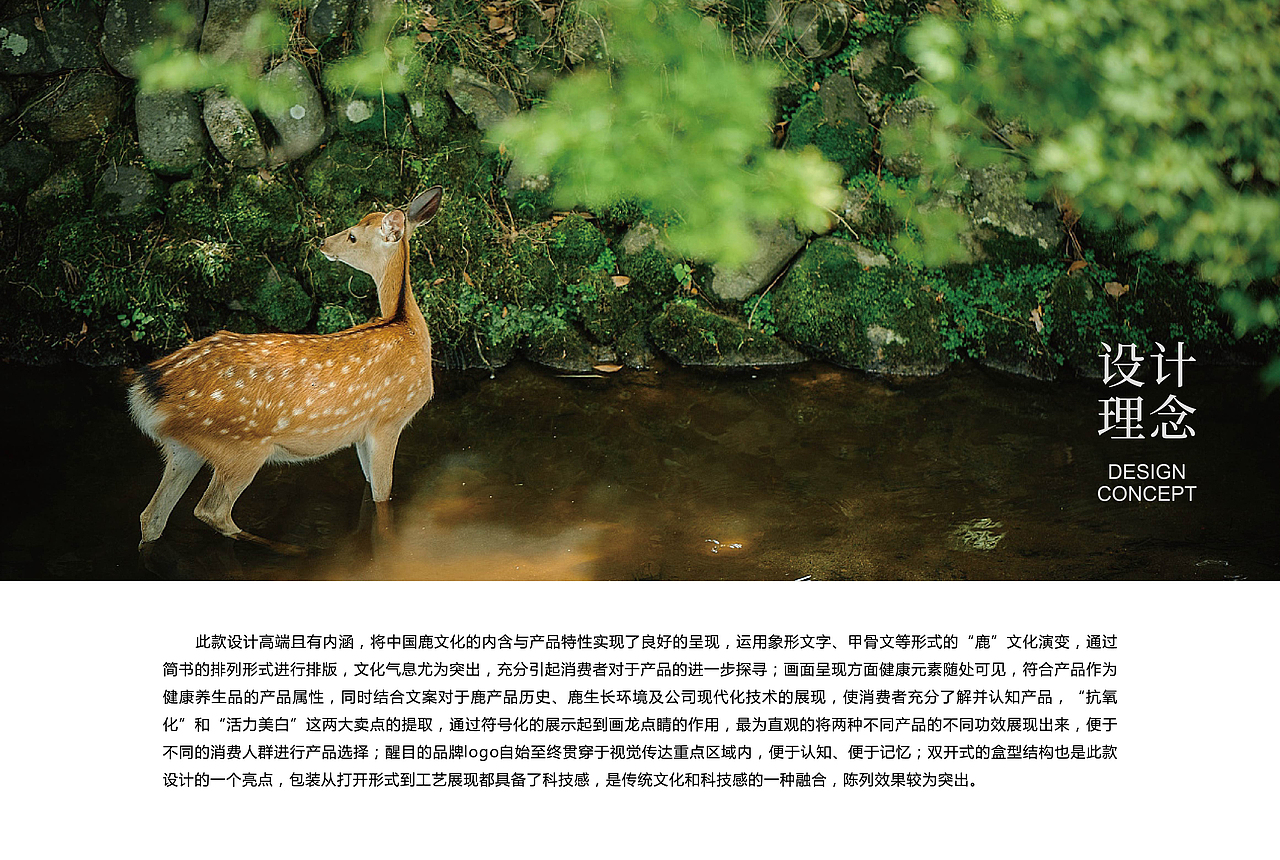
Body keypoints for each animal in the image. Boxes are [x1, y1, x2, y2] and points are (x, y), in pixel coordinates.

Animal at [128, 185, 444, 551]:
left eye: (352, 235)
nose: (322, 242)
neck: (407, 327)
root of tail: (148, 388)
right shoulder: (388, 419)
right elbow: (383, 496)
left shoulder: (364, 432)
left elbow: (371, 490)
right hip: (240, 447)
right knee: (211, 509)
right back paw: (288, 548)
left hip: (184, 448)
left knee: (152, 516)